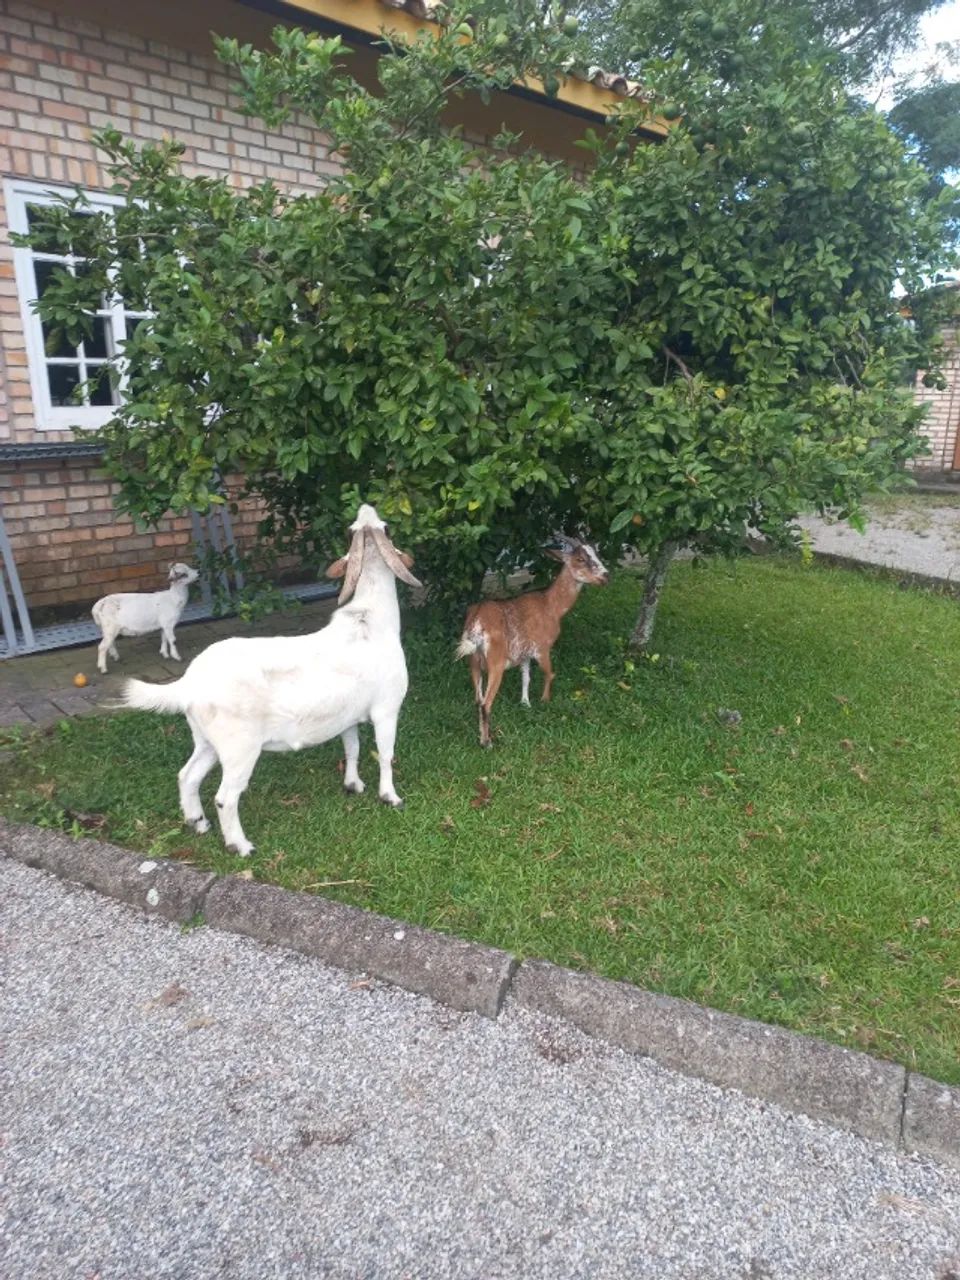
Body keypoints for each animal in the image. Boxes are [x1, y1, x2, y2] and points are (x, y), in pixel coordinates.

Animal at [121, 505, 421, 857]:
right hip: (240, 749)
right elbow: (385, 754)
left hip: (207, 740)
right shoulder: (387, 709)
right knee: (225, 797)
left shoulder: (347, 718)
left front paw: (353, 785)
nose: (365, 508)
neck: (370, 621)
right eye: (385, 528)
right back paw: (240, 846)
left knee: (187, 776)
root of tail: (189, 684)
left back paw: (198, 823)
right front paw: (391, 797)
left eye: (358, 529)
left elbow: (353, 748)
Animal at [456, 536, 609, 747]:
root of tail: (476, 623)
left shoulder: (524, 652)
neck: (552, 606)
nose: (606, 576)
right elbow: (549, 673)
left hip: (474, 661)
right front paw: (544, 700)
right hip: (496, 662)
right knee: (486, 703)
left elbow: (526, 677)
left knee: (478, 700)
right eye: (580, 559)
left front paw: (525, 703)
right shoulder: (542, 647)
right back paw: (487, 743)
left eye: (596, 554)